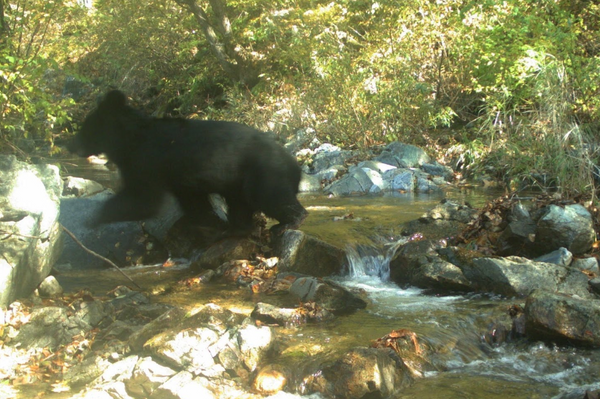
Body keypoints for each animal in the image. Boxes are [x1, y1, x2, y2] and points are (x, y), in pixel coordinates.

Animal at [68, 90, 308, 234]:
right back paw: (239, 226)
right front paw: (202, 220)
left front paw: (93, 219)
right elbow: (193, 201)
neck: (129, 140)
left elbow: (143, 198)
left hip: (263, 173)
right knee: (242, 205)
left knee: (270, 196)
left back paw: (289, 222)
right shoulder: (180, 178)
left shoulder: (146, 161)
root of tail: (295, 164)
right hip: (238, 183)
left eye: (85, 128)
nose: (71, 145)